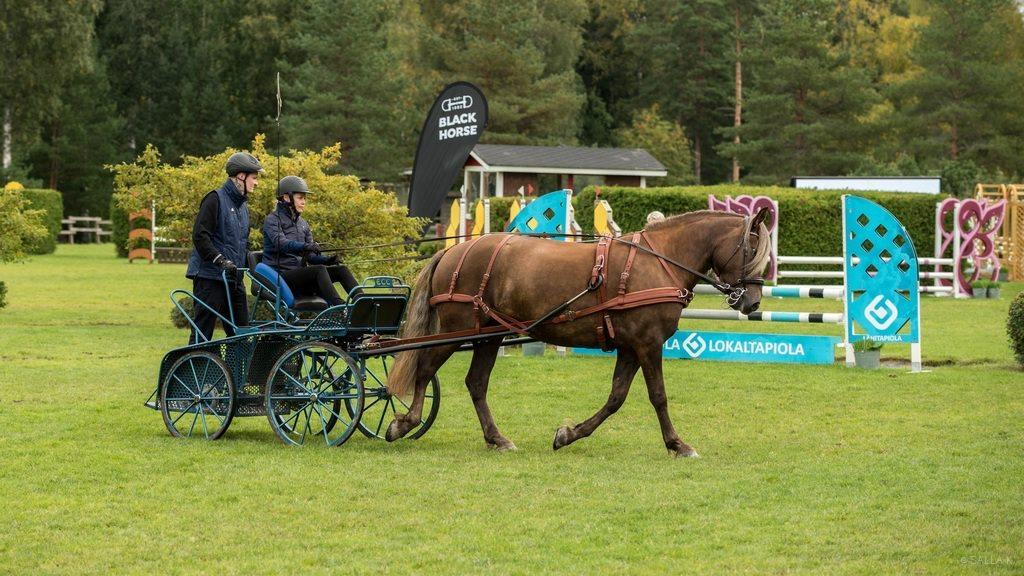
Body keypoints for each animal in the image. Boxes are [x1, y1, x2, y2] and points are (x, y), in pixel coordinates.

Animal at [387, 208, 770, 455]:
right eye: (751, 249)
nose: (752, 302)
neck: (659, 261)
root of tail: (454, 250)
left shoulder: (630, 346)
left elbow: (616, 397)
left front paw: (569, 434)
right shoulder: (647, 344)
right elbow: (658, 396)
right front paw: (677, 444)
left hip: (489, 334)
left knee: (476, 383)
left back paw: (497, 438)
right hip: (460, 328)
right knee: (425, 368)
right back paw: (406, 421)